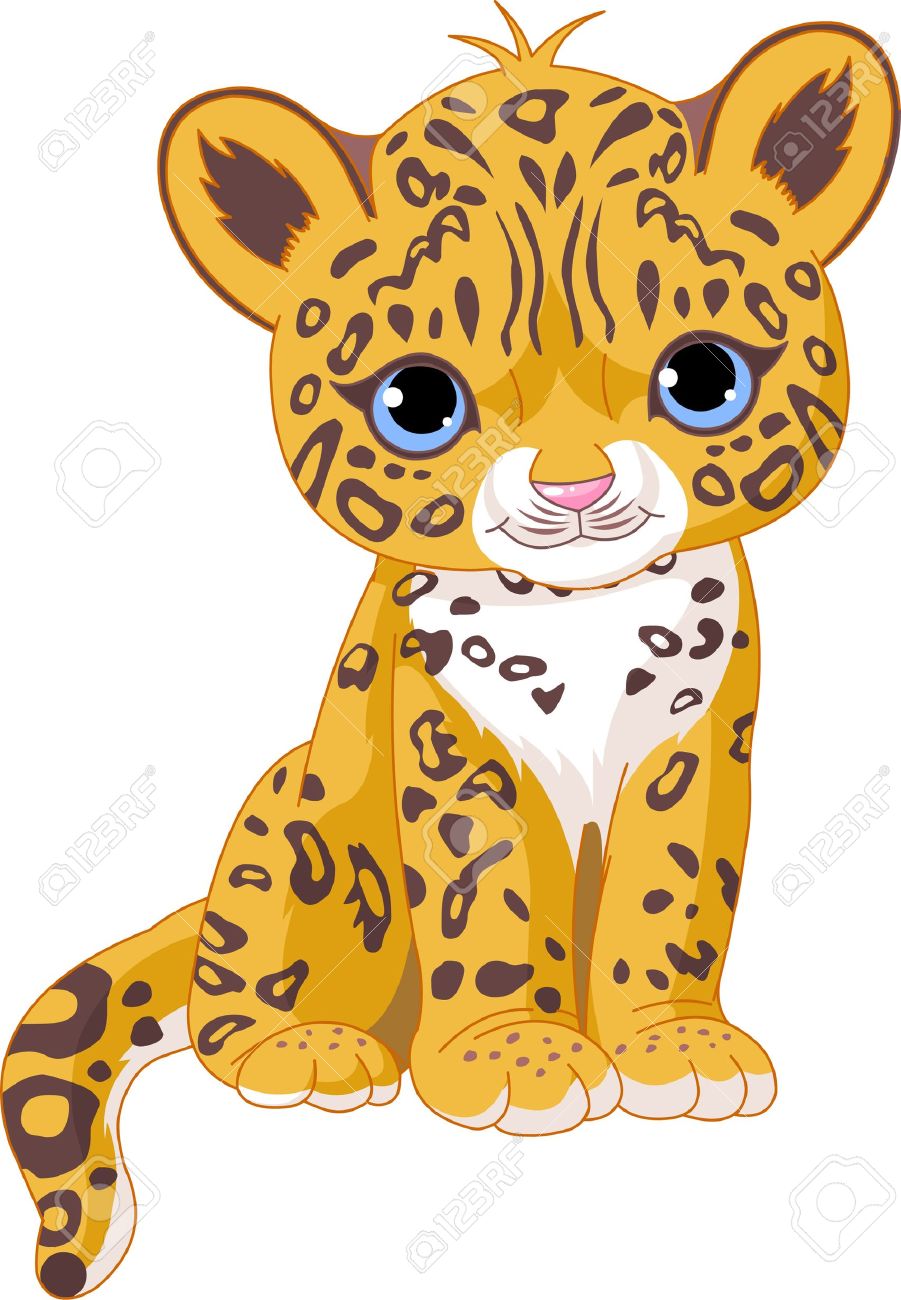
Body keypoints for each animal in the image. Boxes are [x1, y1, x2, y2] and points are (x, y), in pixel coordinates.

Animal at [4, 7, 897, 1296]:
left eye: (704, 378)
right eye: (417, 402)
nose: (573, 487)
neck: (584, 611)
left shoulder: (693, 748)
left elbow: (669, 895)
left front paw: (673, 1045)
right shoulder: (454, 747)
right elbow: (489, 906)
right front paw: (515, 1057)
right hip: (285, 817)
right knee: (224, 1006)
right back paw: (310, 1049)